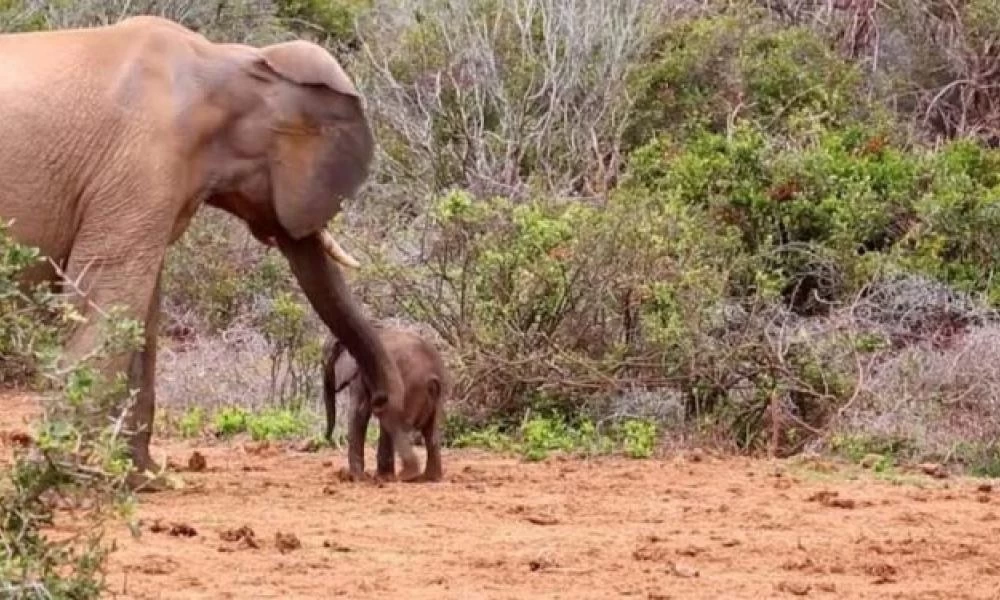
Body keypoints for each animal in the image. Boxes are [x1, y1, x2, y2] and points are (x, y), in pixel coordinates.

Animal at [0, 16, 410, 490]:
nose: (380, 401)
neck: (229, 60)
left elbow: (142, 314)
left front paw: (147, 481)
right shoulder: (142, 161)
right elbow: (106, 295)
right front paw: (64, 476)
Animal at [322, 328, 448, 482]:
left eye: (324, 362)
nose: (328, 439)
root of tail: (432, 376)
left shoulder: (360, 374)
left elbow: (359, 411)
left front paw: (355, 478)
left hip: (409, 389)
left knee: (395, 424)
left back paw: (402, 476)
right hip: (439, 393)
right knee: (431, 431)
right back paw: (429, 478)